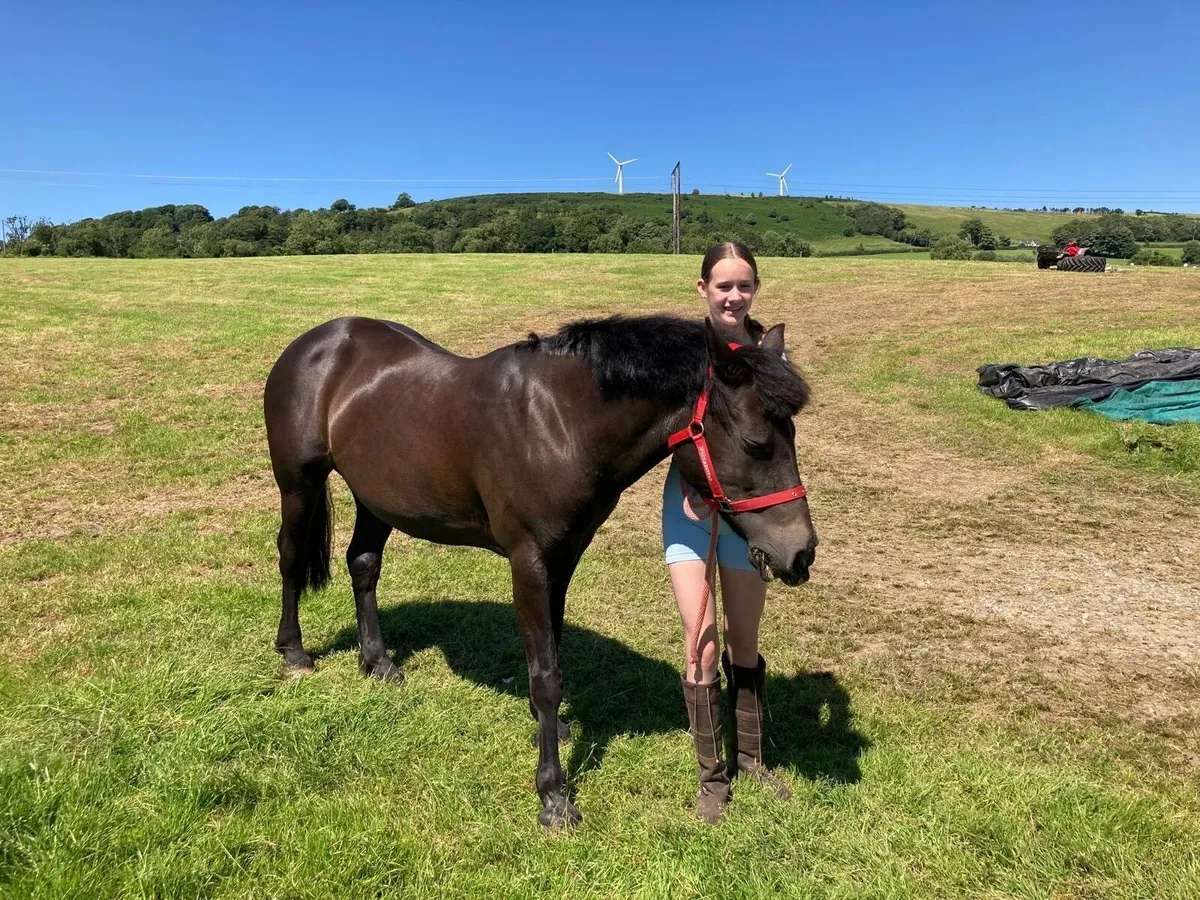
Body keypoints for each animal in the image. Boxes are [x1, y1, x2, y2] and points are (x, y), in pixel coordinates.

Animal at [263, 313, 818, 828]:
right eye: (756, 443)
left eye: (792, 433)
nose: (801, 553)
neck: (559, 423)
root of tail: (317, 340)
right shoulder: (528, 560)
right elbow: (546, 675)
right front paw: (553, 795)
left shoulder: (563, 557)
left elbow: (551, 653)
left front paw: (548, 730)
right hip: (299, 485)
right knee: (290, 559)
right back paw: (294, 652)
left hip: (375, 498)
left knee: (363, 565)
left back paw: (377, 661)